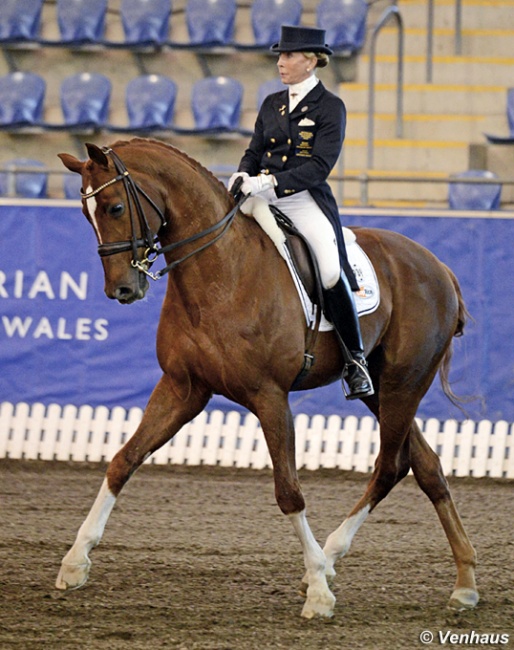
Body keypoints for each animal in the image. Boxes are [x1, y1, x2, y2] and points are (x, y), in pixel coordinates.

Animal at [55, 139, 476, 616]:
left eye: (114, 206)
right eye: (85, 212)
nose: (122, 290)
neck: (220, 272)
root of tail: (440, 268)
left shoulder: (270, 397)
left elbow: (289, 492)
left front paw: (318, 592)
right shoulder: (183, 389)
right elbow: (123, 461)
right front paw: (75, 562)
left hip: (405, 384)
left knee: (390, 465)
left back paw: (331, 560)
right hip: (380, 390)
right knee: (424, 466)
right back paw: (463, 582)